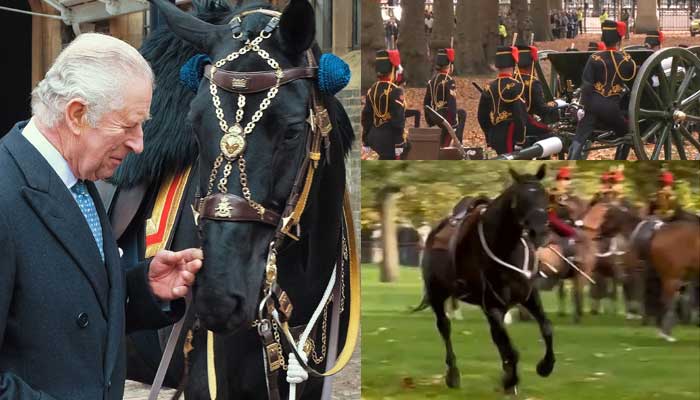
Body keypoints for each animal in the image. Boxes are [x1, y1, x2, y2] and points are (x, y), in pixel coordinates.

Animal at [416, 166, 556, 394]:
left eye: (545, 196)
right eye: (519, 199)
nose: (541, 232)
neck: (506, 249)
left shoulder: (528, 297)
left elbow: (546, 328)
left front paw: (545, 367)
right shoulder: (493, 306)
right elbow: (511, 349)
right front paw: (510, 381)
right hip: (437, 294)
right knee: (445, 327)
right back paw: (453, 375)